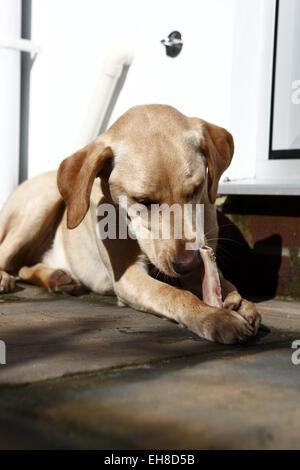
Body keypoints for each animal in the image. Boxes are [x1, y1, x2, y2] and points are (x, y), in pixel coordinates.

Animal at [0, 105, 260, 342]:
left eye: (196, 190)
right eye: (143, 201)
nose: (188, 263)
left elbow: (222, 281)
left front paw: (238, 301)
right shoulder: (128, 277)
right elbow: (173, 294)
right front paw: (214, 318)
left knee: (23, 267)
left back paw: (57, 277)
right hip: (41, 202)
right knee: (7, 257)